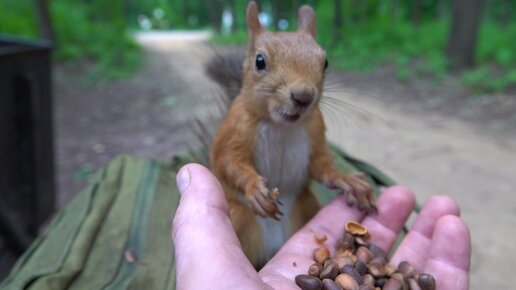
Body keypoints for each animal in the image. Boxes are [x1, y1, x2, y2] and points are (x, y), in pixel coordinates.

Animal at [208, 1, 376, 270]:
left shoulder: (315, 130)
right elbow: (229, 162)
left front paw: (345, 179)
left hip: (305, 207)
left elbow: (321, 164)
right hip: (241, 219)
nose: (303, 96)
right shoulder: (235, 129)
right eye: (259, 61)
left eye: (325, 62)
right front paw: (254, 187)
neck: (281, 126)